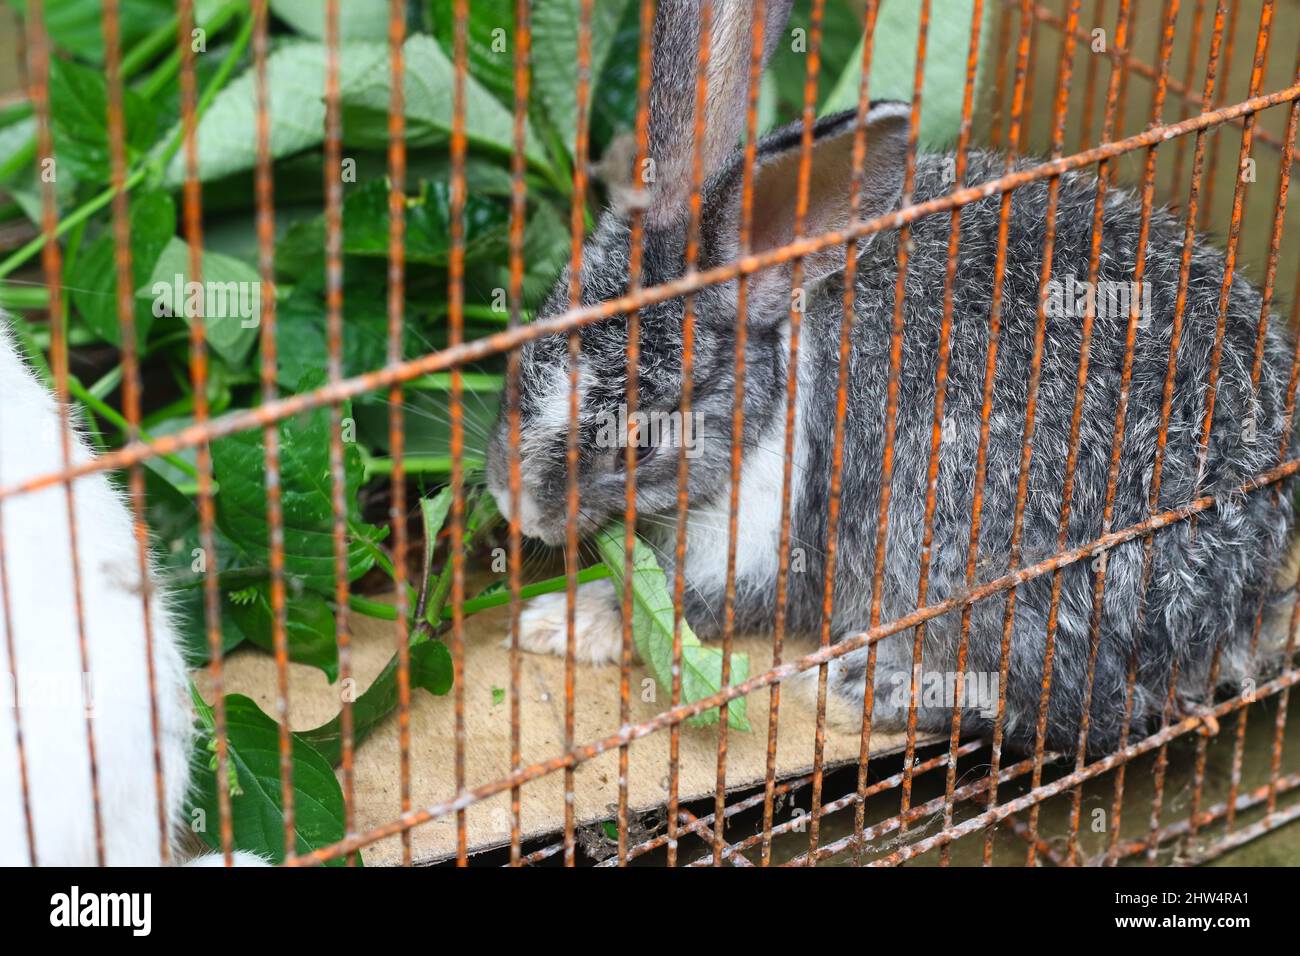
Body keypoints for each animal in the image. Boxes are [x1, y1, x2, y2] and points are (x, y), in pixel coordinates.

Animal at [483, 0, 1298, 758]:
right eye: (534, 334)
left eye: (642, 441)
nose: (515, 503)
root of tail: (1243, 590)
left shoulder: (764, 535)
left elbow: (679, 607)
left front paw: (556, 622)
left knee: (1078, 714)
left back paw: (851, 690)